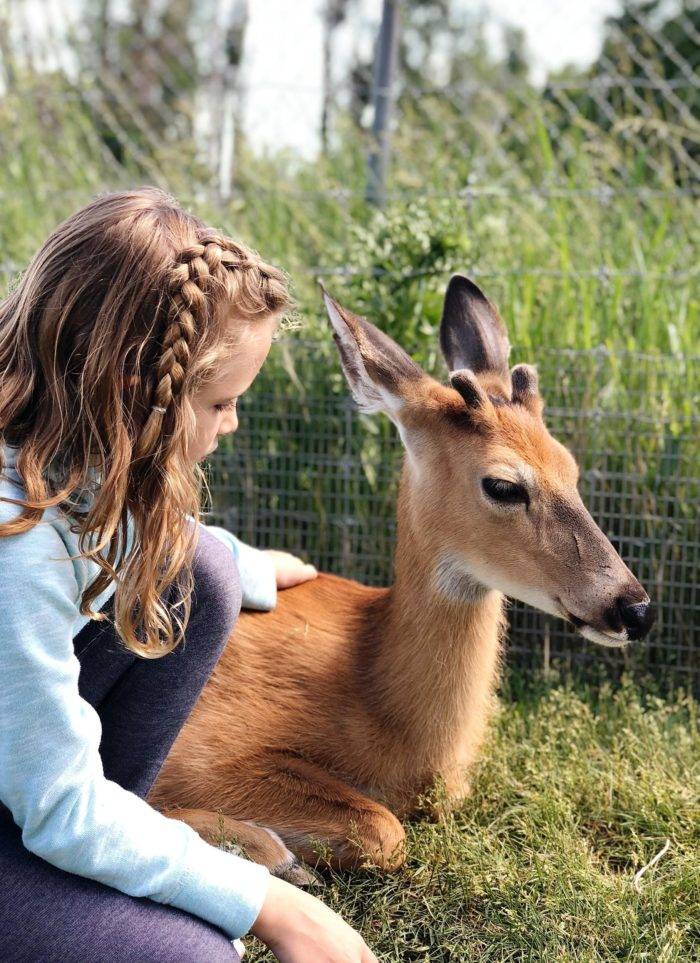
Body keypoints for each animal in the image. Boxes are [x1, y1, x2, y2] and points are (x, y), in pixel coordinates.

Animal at [148, 274, 656, 884]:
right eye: (503, 485)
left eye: (571, 468)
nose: (634, 607)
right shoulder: (199, 746)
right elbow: (383, 829)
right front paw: (268, 851)